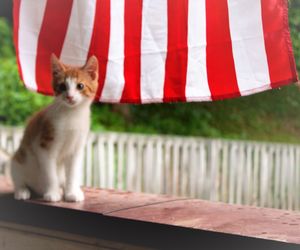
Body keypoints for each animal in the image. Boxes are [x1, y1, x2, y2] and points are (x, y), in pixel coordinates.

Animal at [10, 54, 98, 201]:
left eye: (80, 86)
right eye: (62, 86)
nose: (69, 96)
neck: (72, 115)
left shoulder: (76, 148)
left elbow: (73, 172)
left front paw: (71, 193)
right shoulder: (44, 146)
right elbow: (50, 173)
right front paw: (52, 193)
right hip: (18, 160)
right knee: (18, 177)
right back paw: (22, 191)